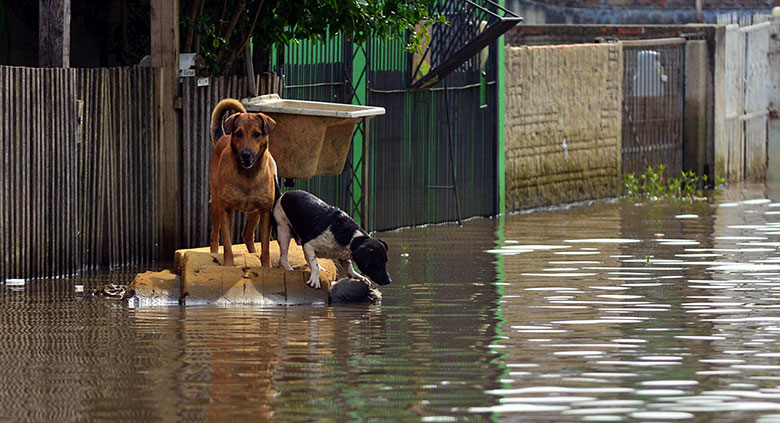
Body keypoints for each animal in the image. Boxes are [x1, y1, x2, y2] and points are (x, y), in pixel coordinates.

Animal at [210, 98, 278, 266]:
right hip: (216, 204)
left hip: (254, 213)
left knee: (247, 234)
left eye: (257, 134)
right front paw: (228, 265)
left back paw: (253, 254)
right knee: (215, 235)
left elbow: (266, 247)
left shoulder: (265, 211)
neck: (248, 175)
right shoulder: (226, 209)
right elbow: (227, 245)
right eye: (239, 134)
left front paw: (266, 266)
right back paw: (213, 253)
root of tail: (223, 136)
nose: (246, 154)